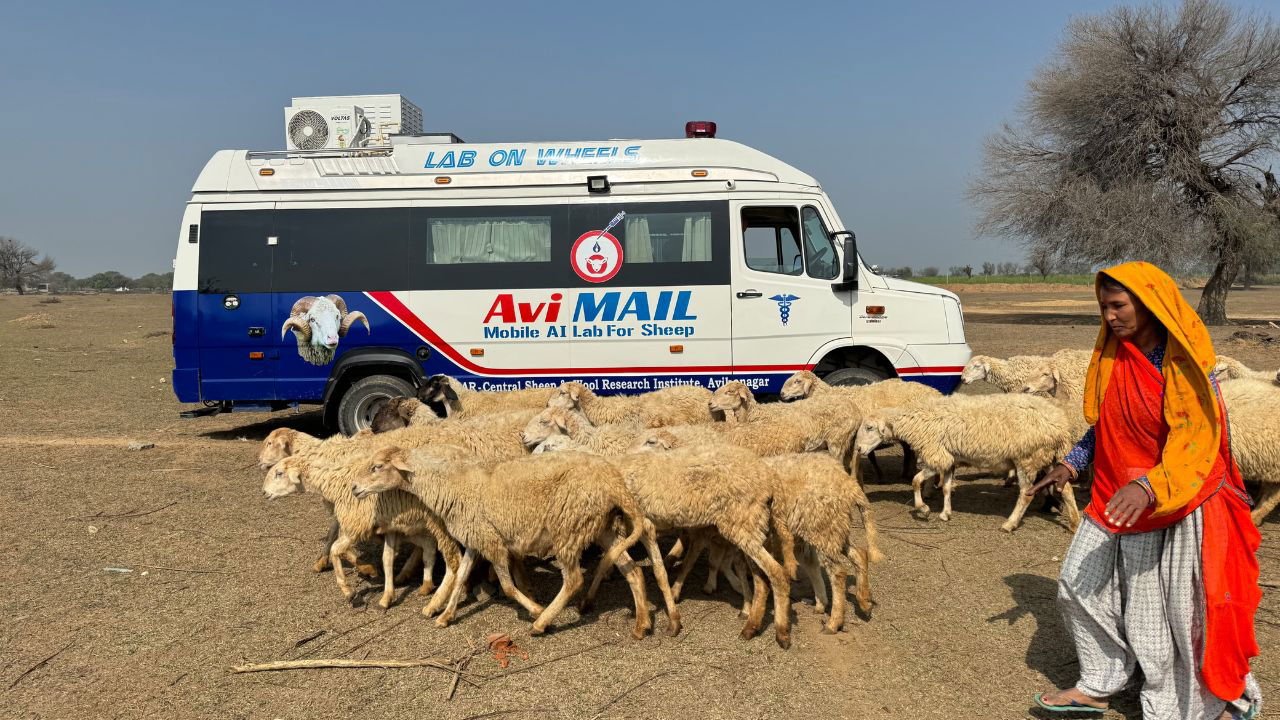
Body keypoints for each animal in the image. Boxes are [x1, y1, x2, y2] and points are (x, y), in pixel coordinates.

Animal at [350, 445, 655, 635]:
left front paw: (534, 608)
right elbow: (460, 577)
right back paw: (641, 624)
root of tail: (614, 482)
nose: (354, 488)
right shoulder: (475, 538)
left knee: (574, 580)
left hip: (568, 528)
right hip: (599, 527)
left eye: (377, 466)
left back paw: (542, 622)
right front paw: (446, 616)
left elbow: (508, 587)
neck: (453, 484)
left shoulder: (492, 543)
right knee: (633, 571)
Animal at [849, 392, 1080, 527]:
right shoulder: (949, 459)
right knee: (1066, 488)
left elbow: (915, 481)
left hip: (1027, 458)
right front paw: (945, 514)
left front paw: (923, 509)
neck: (914, 421)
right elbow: (946, 488)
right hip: (1050, 456)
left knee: (1026, 493)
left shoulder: (936, 456)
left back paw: (1010, 523)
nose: (858, 448)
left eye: (869, 427)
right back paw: (1074, 521)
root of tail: (1060, 424)